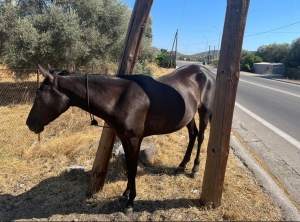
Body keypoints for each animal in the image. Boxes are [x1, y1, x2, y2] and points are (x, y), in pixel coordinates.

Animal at [25, 63, 216, 215]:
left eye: (39, 93)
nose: (29, 124)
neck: (120, 98)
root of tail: (206, 72)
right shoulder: (124, 138)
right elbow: (129, 167)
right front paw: (126, 194)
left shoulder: (134, 139)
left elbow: (133, 169)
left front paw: (130, 203)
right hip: (188, 115)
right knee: (192, 135)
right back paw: (182, 165)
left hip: (204, 112)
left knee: (200, 137)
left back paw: (195, 168)